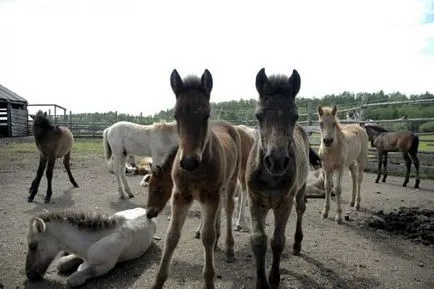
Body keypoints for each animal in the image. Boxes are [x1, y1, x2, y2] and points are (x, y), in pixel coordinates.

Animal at [25, 207, 159, 286]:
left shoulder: (104, 266)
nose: (29, 275)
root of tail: (147, 212)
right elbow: (61, 263)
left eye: (32, 246)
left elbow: (74, 279)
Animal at [150, 69, 242, 288]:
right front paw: (158, 281)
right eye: (175, 115)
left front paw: (209, 279)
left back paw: (228, 247)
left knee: (228, 209)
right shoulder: (180, 195)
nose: (189, 162)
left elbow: (207, 238)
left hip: (230, 182)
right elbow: (171, 236)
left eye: (206, 115)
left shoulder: (211, 195)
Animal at [248, 68, 318, 288]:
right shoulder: (256, 201)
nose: (276, 161)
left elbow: (277, 241)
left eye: (295, 116)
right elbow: (258, 240)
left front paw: (274, 278)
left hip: (300, 189)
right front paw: (261, 282)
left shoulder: (284, 203)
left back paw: (297, 244)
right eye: (259, 116)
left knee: (301, 209)